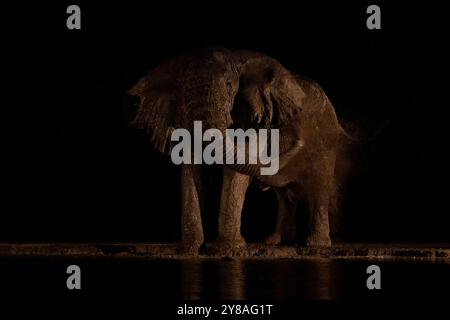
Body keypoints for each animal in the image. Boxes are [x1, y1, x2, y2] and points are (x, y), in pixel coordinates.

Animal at [127, 46, 356, 254]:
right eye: (183, 92)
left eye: (229, 87)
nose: (297, 138)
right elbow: (190, 169)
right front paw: (189, 250)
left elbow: (235, 172)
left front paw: (227, 250)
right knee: (283, 195)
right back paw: (274, 242)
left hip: (325, 137)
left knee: (319, 187)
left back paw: (315, 245)